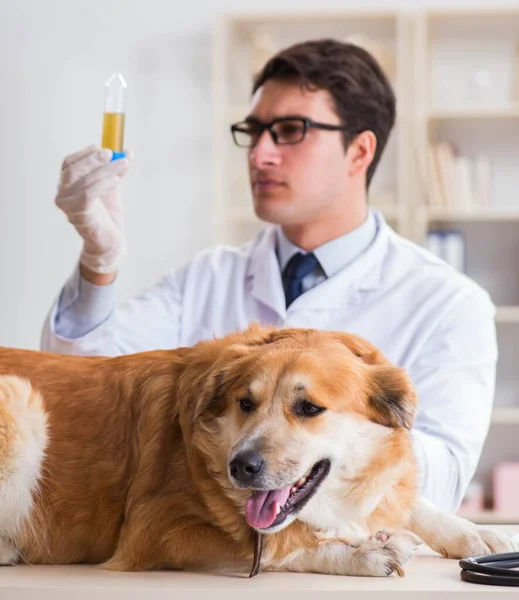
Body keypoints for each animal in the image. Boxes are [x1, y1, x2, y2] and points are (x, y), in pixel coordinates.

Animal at [0, 326, 516, 580]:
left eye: (308, 408)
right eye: (245, 403)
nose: (241, 467)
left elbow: (406, 495)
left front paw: (472, 532)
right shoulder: (155, 531)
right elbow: (275, 546)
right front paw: (362, 552)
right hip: (20, 401)